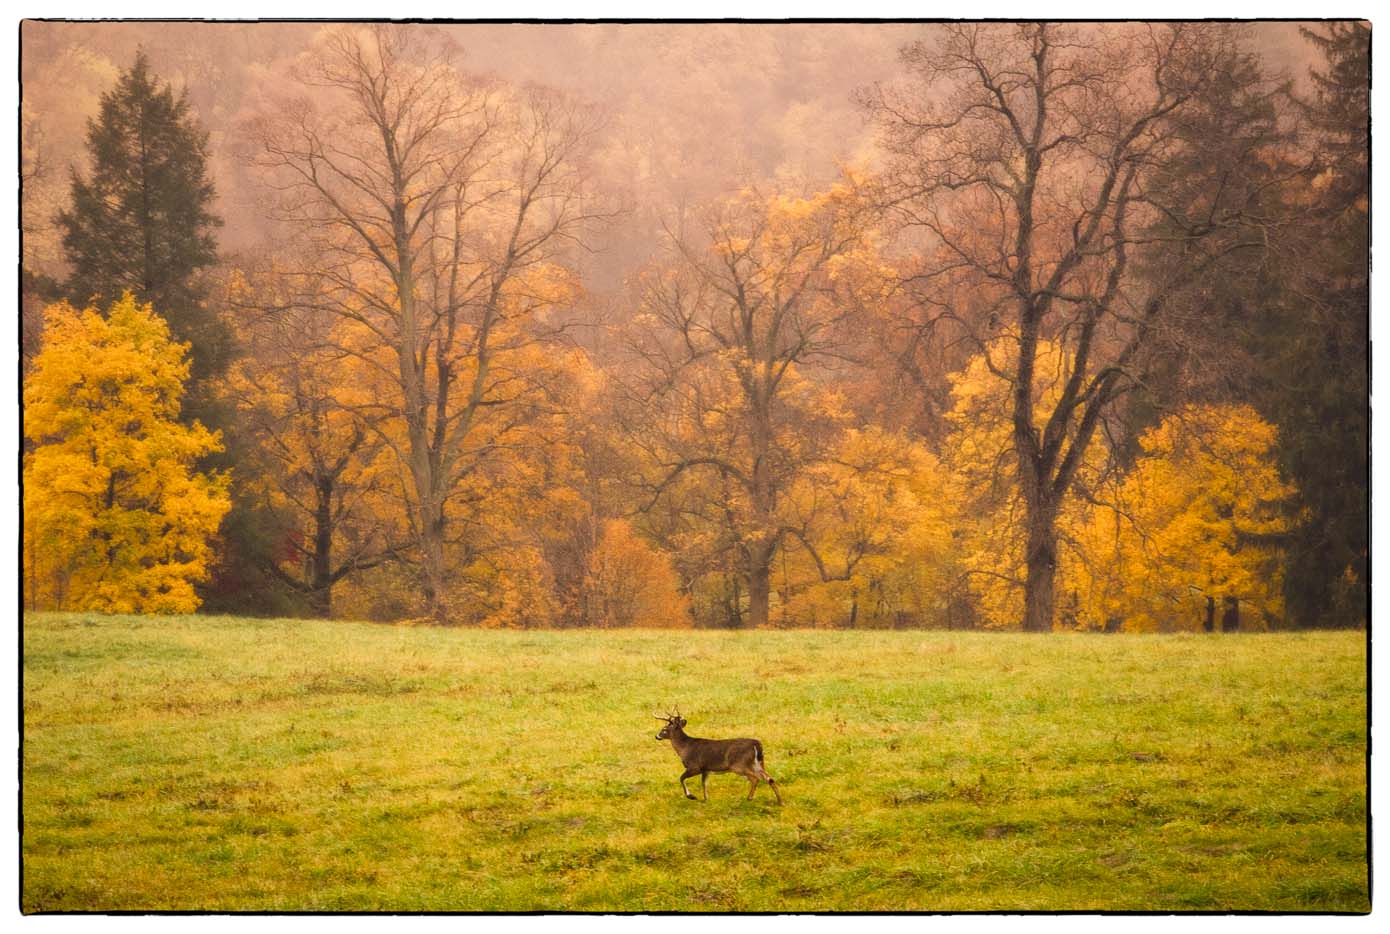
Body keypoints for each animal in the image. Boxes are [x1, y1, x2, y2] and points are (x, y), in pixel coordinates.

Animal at [653, 708, 783, 800]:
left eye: (664, 729)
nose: (656, 736)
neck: (685, 748)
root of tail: (757, 744)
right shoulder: (706, 769)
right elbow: (704, 784)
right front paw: (706, 799)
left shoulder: (695, 766)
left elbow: (681, 778)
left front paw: (691, 796)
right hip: (758, 763)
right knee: (769, 778)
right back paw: (779, 801)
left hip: (740, 765)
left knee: (756, 779)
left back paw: (750, 798)